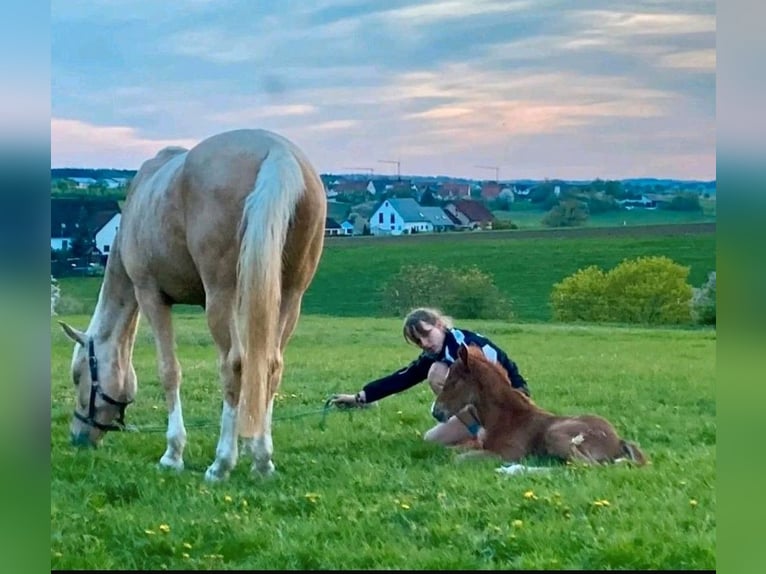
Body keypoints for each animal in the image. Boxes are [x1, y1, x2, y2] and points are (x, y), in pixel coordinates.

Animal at [57, 129, 328, 482]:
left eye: (79, 376)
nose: (78, 438)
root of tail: (277, 152)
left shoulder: (150, 294)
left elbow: (169, 371)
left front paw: (173, 454)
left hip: (221, 296)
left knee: (234, 366)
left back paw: (222, 463)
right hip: (290, 296)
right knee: (271, 365)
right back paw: (262, 460)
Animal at [432, 346, 648, 468]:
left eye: (454, 381)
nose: (436, 412)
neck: (506, 418)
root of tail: (618, 439)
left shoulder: (507, 454)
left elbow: (458, 459)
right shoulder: (478, 444)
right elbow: (450, 451)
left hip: (556, 435)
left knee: (588, 466)